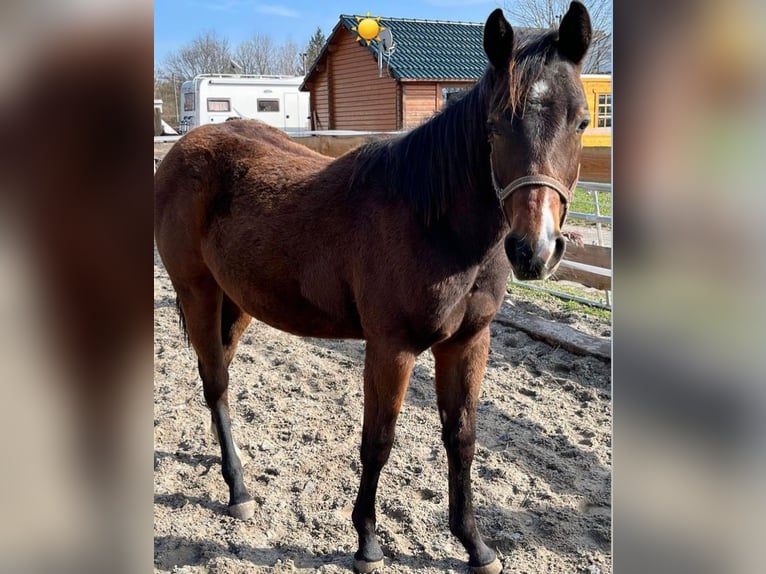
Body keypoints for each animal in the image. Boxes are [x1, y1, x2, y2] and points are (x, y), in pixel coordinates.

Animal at [154, 2, 592, 572]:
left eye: (581, 122)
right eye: (495, 125)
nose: (533, 250)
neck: (433, 223)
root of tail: (183, 149)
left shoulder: (468, 343)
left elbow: (463, 438)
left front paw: (474, 544)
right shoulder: (391, 348)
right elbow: (378, 441)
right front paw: (365, 541)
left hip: (239, 300)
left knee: (219, 379)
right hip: (197, 291)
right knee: (216, 382)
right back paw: (239, 490)